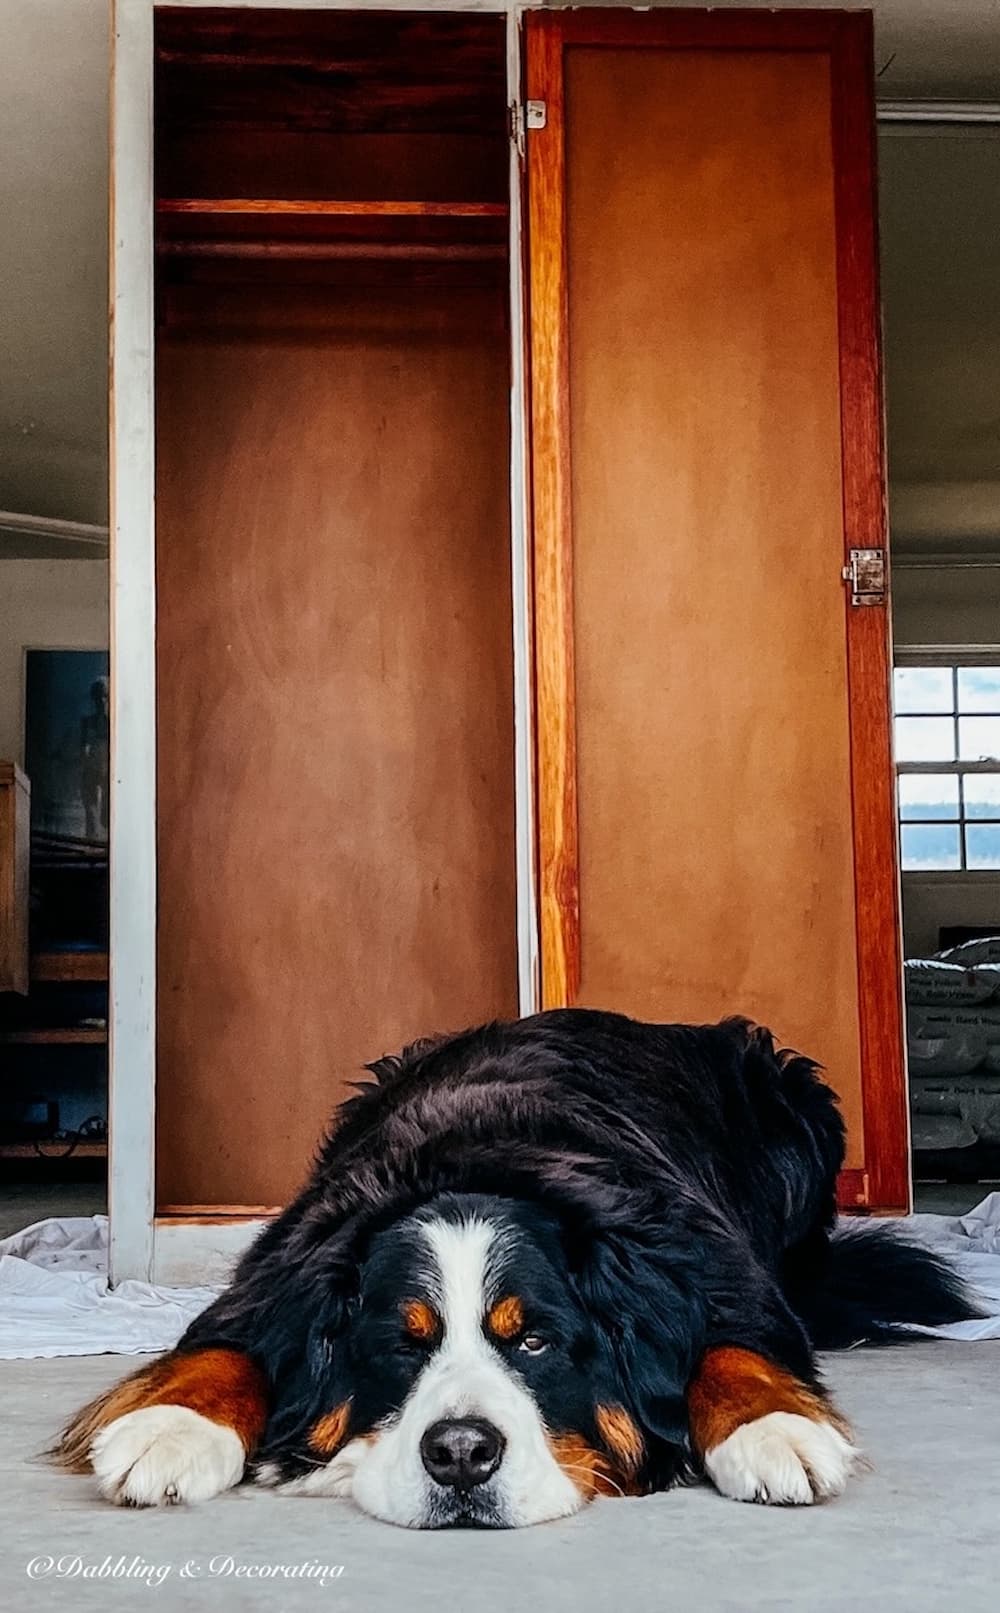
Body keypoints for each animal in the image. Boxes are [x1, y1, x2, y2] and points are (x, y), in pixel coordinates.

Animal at [54, 1012, 974, 1529]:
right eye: (401, 1343)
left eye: (533, 1341)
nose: (461, 1452)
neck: (479, 1158)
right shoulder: (278, 1271)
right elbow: (223, 1348)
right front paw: (169, 1429)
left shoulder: (714, 1270)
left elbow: (733, 1348)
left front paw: (775, 1429)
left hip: (794, 1099)